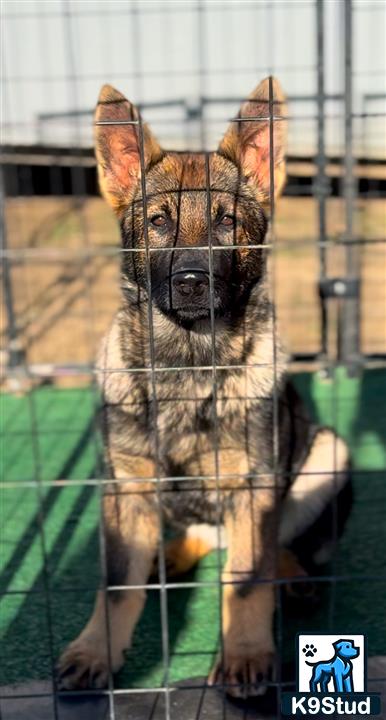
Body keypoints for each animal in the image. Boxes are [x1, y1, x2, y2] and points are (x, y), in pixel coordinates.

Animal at [58, 77, 352, 696]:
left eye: (226, 221)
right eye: (158, 222)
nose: (191, 282)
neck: (186, 368)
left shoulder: (253, 487)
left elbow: (244, 579)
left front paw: (245, 654)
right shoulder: (126, 488)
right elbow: (116, 584)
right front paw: (96, 650)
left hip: (325, 454)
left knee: (274, 545)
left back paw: (294, 577)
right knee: (199, 537)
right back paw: (166, 560)